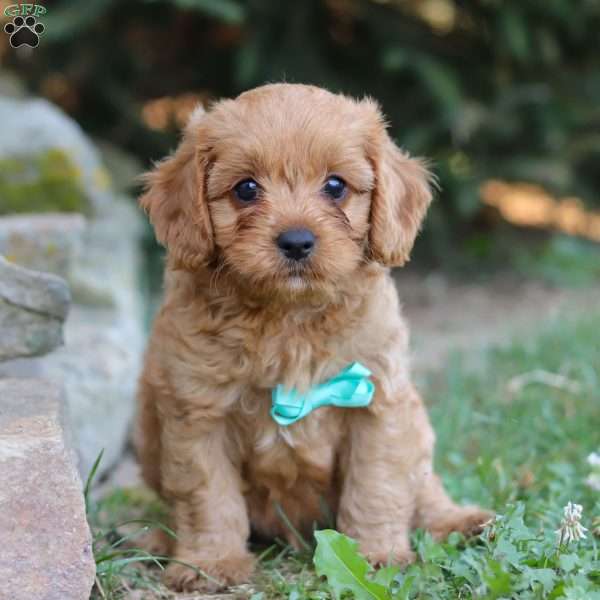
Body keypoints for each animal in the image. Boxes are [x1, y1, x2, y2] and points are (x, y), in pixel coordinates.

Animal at [134, 82, 490, 592]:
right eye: (246, 189)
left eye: (336, 186)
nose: (297, 241)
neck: (289, 318)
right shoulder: (197, 414)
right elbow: (207, 496)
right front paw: (211, 563)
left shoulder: (379, 407)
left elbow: (377, 486)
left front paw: (376, 556)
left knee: (425, 490)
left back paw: (462, 521)